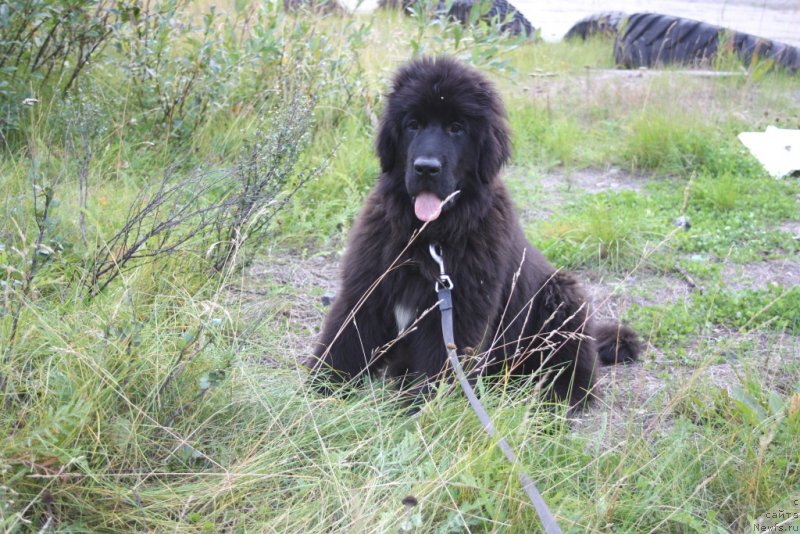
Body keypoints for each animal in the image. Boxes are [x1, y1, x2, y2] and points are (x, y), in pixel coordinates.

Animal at [310, 56, 640, 406]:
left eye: (457, 128)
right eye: (413, 124)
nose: (426, 168)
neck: (429, 238)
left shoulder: (457, 317)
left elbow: (438, 372)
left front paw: (421, 413)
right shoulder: (366, 293)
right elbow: (343, 345)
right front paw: (317, 391)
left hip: (562, 298)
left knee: (576, 372)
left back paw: (554, 398)